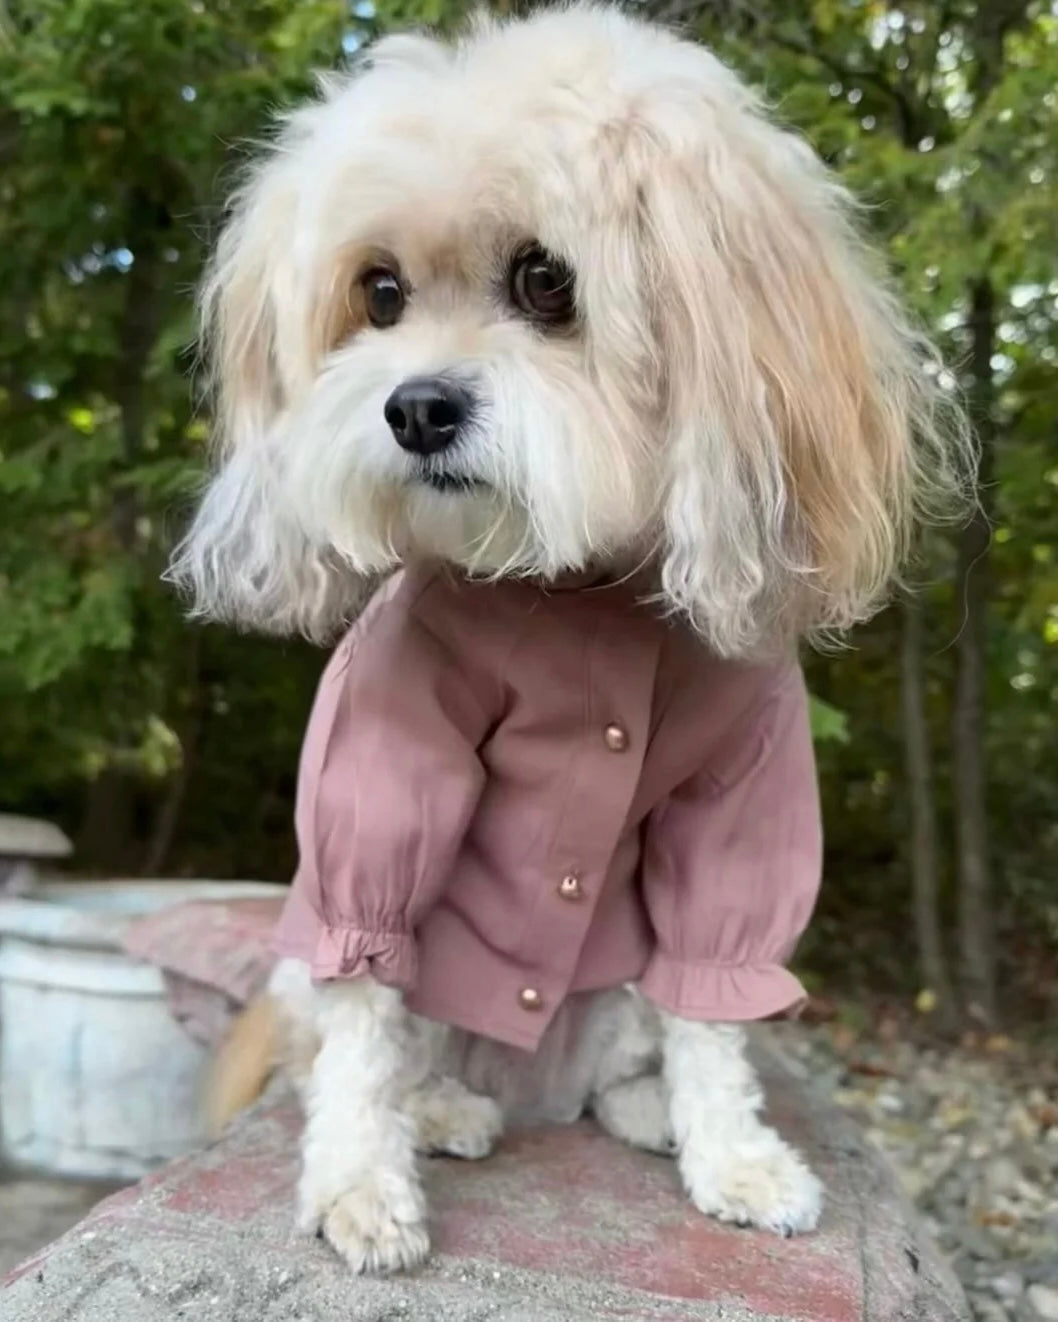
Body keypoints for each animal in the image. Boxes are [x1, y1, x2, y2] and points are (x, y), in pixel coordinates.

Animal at [169, 2, 973, 1279]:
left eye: (544, 279)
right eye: (378, 293)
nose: (415, 407)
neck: (569, 580)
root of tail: (532, 1085)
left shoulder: (741, 798)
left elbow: (714, 998)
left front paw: (734, 1155)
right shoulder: (377, 774)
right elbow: (362, 1007)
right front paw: (358, 1181)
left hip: (618, 992)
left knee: (644, 1037)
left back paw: (642, 1108)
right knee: (365, 1030)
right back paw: (437, 1107)